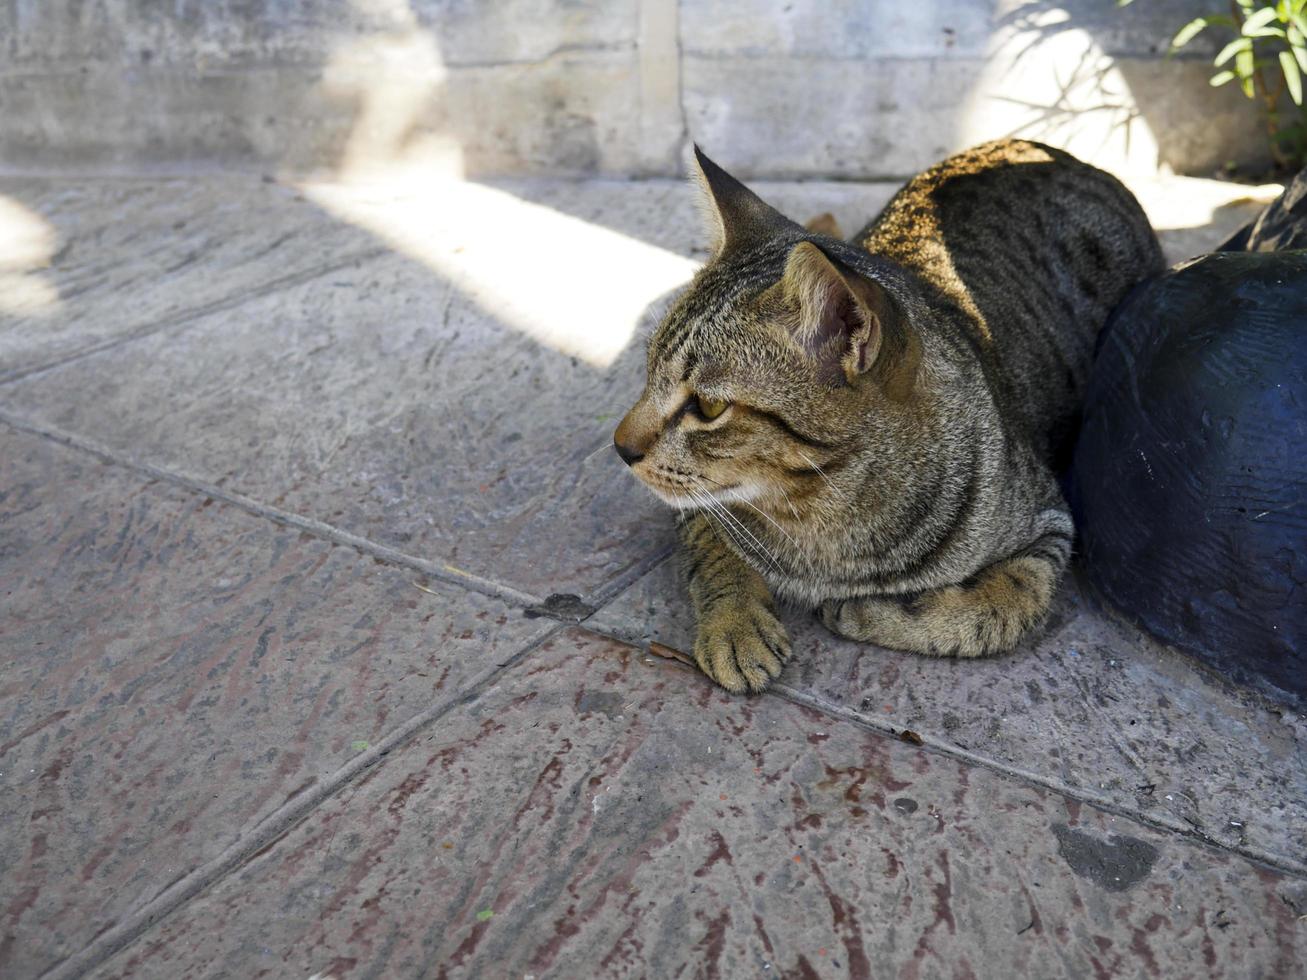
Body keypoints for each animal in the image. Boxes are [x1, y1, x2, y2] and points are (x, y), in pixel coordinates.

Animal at [611, 138, 1165, 695]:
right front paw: (735, 625)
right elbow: (714, 549)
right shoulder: (697, 505)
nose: (620, 446)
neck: (818, 520)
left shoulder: (1051, 526)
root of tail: (1061, 154)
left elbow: (1002, 606)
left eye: (708, 408)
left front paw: (866, 612)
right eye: (649, 371)